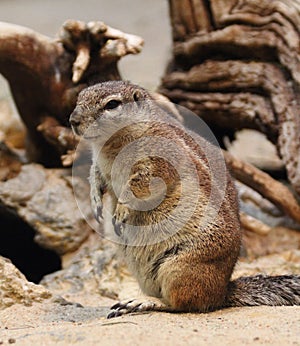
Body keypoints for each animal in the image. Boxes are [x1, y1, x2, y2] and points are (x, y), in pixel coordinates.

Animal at [71, 80, 300, 316]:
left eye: (112, 104)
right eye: (79, 98)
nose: (73, 121)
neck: (110, 145)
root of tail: (222, 291)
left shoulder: (157, 159)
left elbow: (139, 184)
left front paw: (121, 210)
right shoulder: (99, 165)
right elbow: (95, 177)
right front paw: (96, 203)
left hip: (180, 267)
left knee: (182, 303)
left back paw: (142, 302)